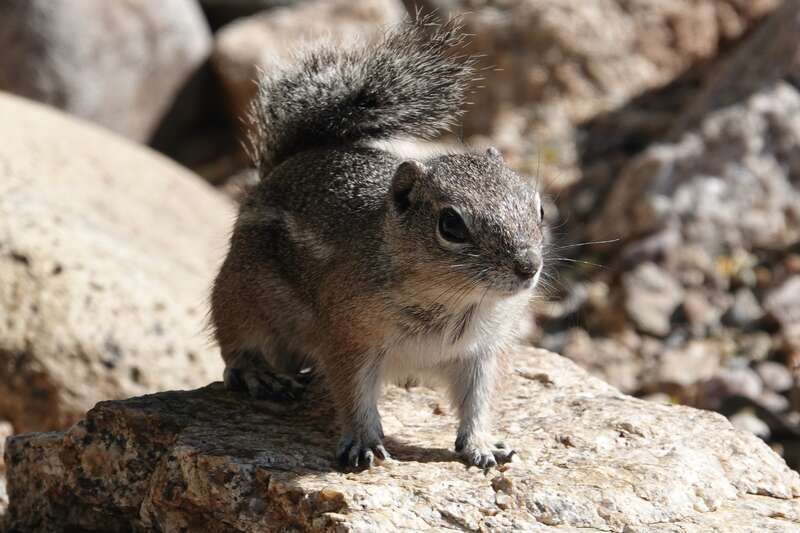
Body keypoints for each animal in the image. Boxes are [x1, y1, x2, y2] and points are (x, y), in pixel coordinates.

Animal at [210, 16, 545, 470]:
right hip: (240, 296)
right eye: (452, 225)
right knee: (235, 346)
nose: (529, 266)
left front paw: (481, 445)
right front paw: (363, 441)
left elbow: (478, 401)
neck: (455, 302)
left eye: (539, 208)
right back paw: (258, 373)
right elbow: (354, 396)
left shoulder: (481, 353)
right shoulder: (349, 337)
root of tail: (279, 170)